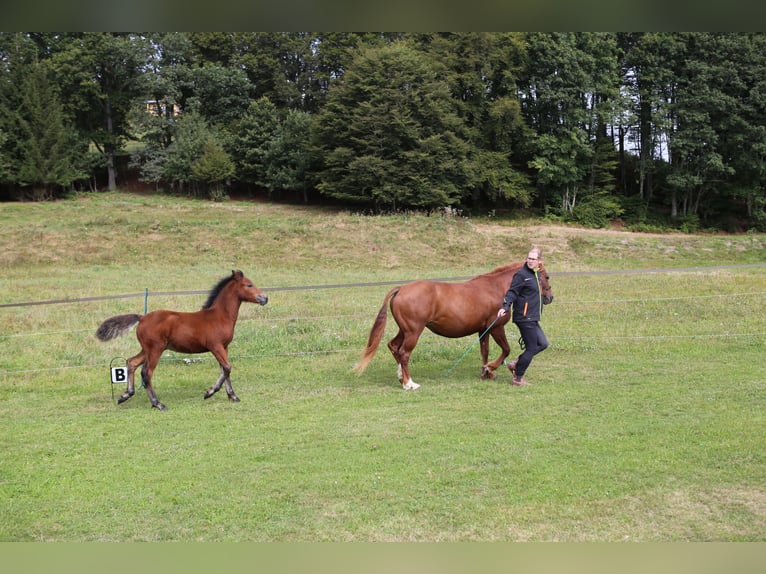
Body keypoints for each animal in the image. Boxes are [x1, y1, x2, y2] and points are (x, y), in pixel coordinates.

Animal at [96, 272, 268, 412]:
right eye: (249, 284)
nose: (265, 298)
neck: (219, 316)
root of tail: (142, 317)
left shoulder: (225, 347)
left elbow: (224, 370)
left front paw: (232, 396)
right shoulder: (216, 346)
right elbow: (227, 367)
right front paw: (209, 392)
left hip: (147, 349)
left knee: (131, 362)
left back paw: (126, 395)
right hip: (155, 349)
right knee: (146, 373)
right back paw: (158, 404)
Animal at [354, 264, 552, 392]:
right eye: (547, 276)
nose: (550, 297)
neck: (496, 288)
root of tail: (401, 289)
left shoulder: (483, 331)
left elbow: (485, 351)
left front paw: (486, 372)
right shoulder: (496, 328)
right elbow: (506, 349)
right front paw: (491, 368)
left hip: (404, 331)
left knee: (394, 346)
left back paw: (401, 378)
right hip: (413, 332)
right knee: (404, 353)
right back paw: (409, 383)